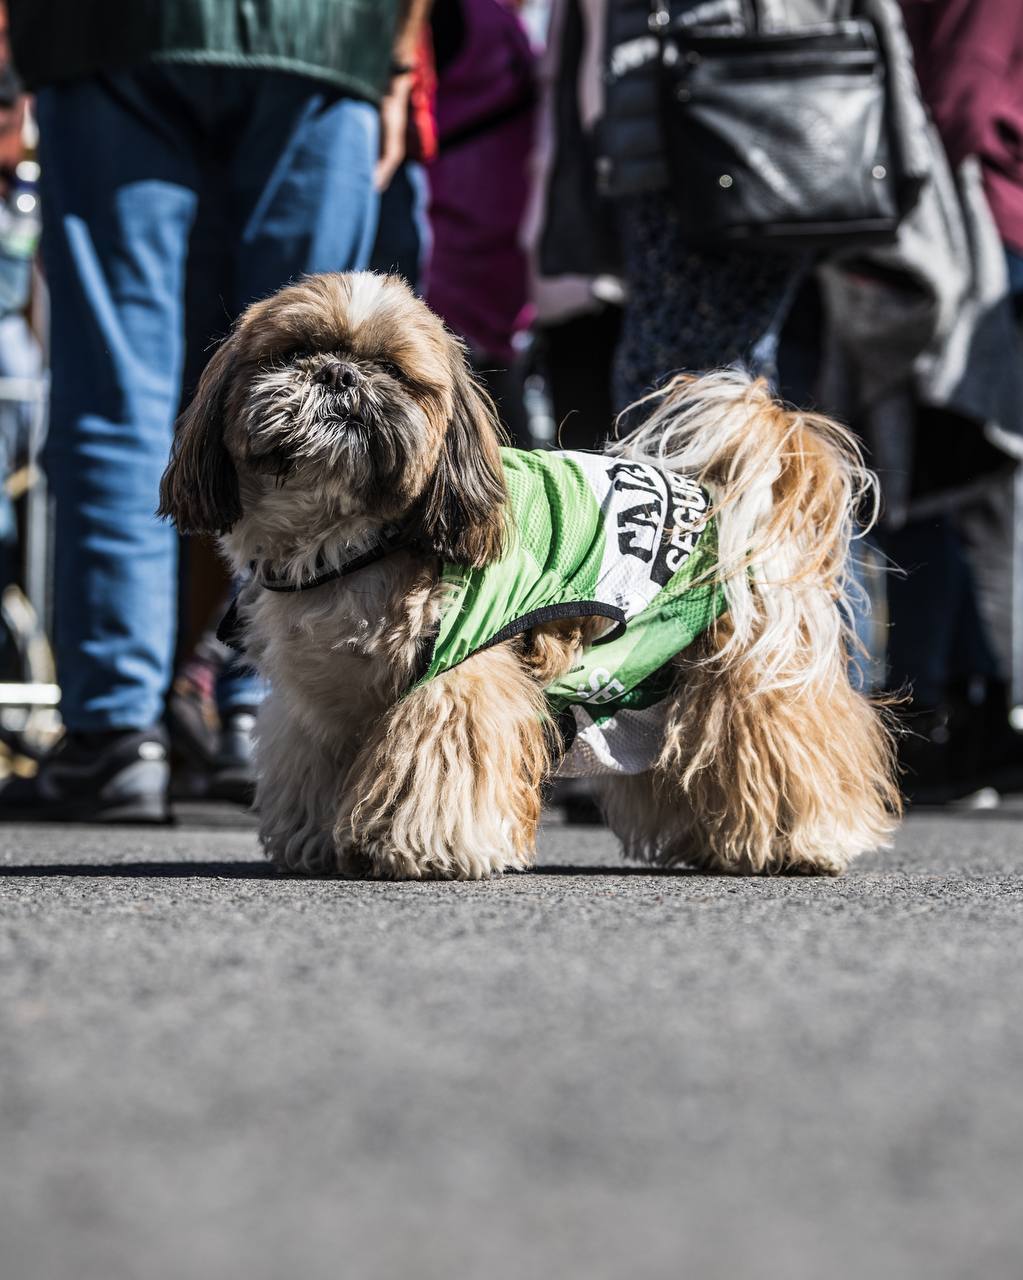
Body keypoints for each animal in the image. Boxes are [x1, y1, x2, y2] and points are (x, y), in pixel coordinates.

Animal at [158, 271, 896, 880]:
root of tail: (726, 496)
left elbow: (438, 760)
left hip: (747, 670)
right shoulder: (317, 698)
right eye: (293, 352)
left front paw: (423, 848)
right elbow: (311, 763)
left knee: (781, 742)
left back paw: (803, 840)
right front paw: (314, 841)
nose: (339, 374)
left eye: (392, 370)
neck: (354, 541)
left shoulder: (459, 670)